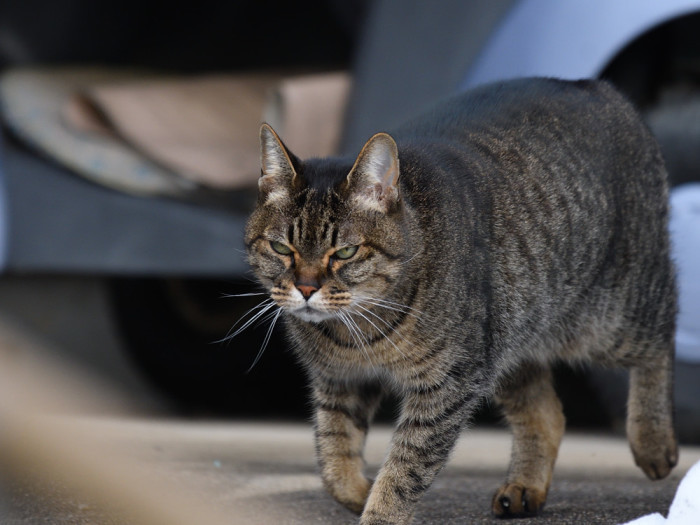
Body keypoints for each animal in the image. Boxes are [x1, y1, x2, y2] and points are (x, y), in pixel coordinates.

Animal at [243, 75, 676, 520]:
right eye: (281, 248)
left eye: (344, 252)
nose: (306, 288)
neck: (355, 334)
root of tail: (591, 84)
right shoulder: (340, 382)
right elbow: (333, 458)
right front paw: (359, 492)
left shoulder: (447, 384)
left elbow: (405, 467)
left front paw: (380, 511)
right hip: (508, 336)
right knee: (547, 414)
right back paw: (524, 487)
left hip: (609, 319)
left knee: (662, 335)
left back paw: (653, 442)